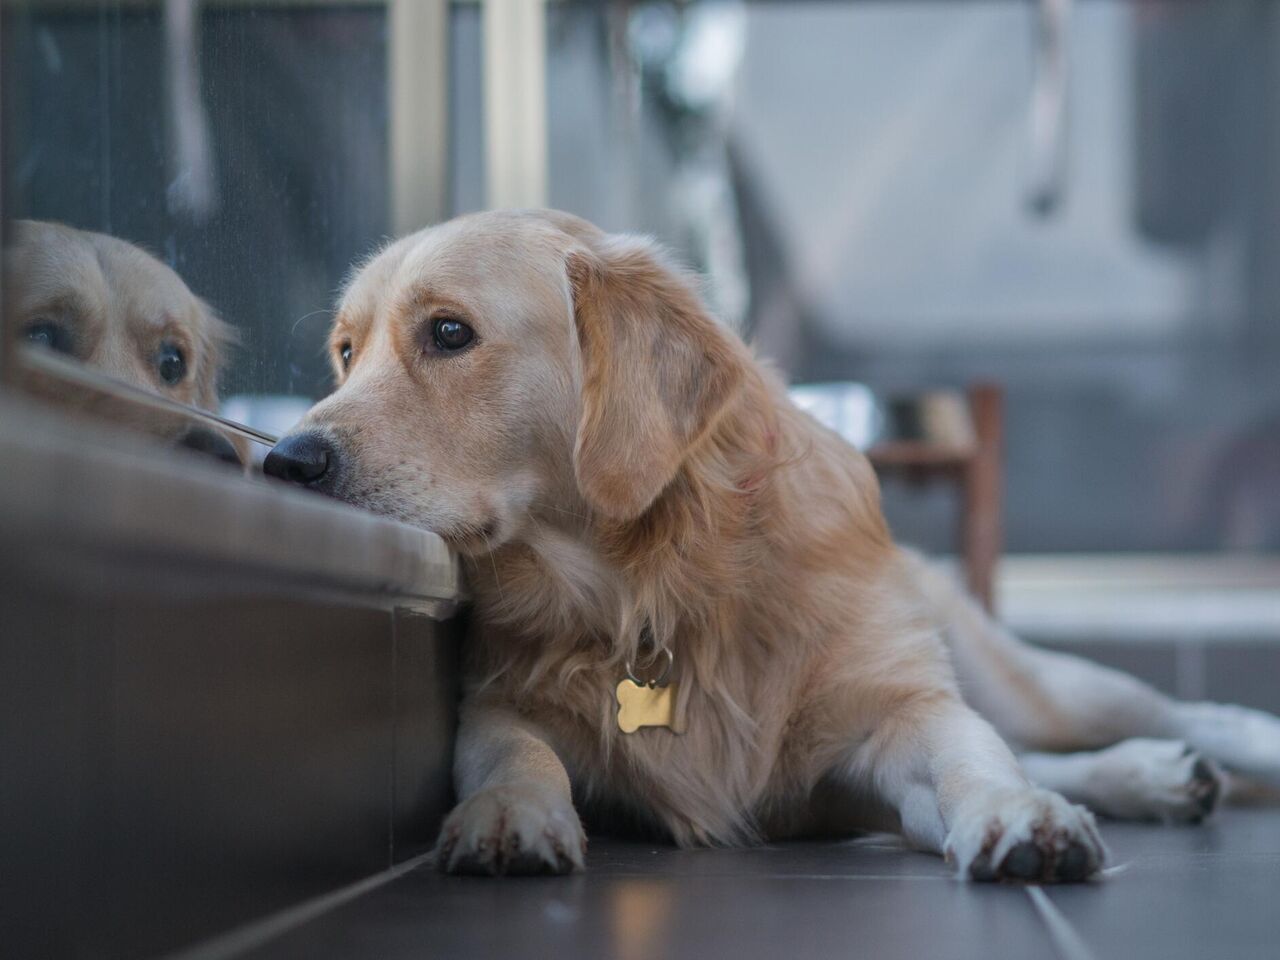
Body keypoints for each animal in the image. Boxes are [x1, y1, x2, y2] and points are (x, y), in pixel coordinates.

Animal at [262, 209, 1280, 885]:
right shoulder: (501, 700)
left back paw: (1190, 756)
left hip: (1027, 680)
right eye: (346, 352)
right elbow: (513, 753)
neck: (654, 588)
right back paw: (1157, 778)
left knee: (1141, 714)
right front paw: (509, 814)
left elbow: (971, 758)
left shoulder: (897, 709)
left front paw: (1015, 815)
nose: (285, 460)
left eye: (449, 333)